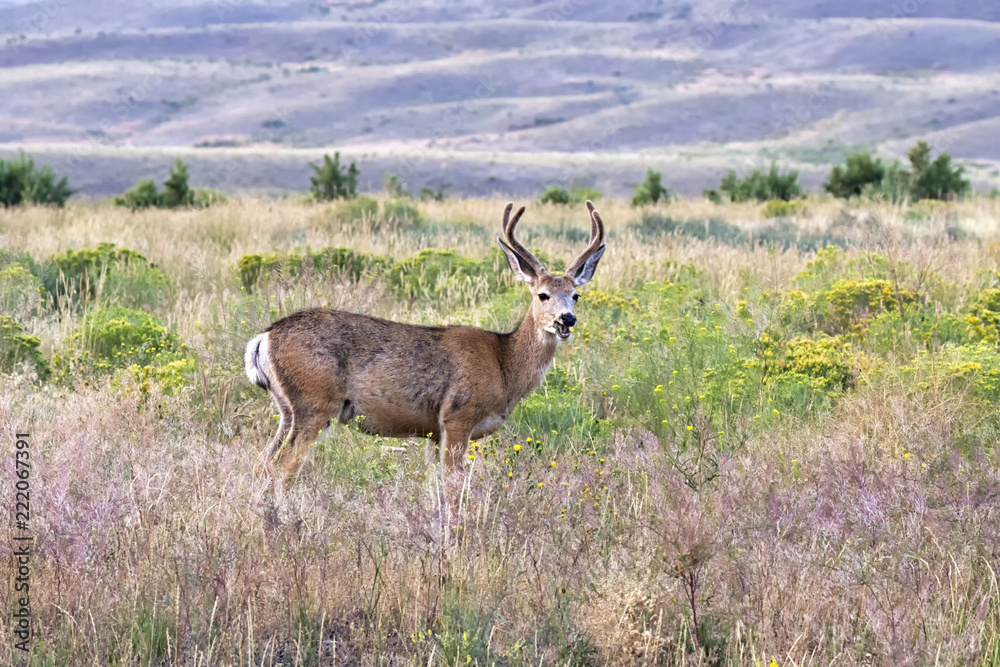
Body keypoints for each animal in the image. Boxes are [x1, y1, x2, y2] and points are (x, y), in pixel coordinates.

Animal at [245, 201, 606, 476]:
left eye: (576, 296)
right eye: (543, 295)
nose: (567, 319)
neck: (504, 363)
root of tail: (264, 337)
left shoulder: (434, 433)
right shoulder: (457, 417)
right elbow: (453, 486)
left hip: (287, 408)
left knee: (262, 463)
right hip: (316, 402)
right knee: (282, 465)